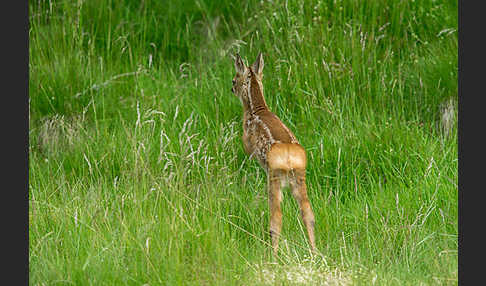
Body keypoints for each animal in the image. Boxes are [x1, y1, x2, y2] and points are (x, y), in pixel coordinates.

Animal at [231, 53, 318, 256]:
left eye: (234, 79)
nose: (231, 88)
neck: (256, 110)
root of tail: (290, 158)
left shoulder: (247, 142)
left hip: (274, 176)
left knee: (277, 216)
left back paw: (274, 254)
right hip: (300, 178)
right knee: (308, 214)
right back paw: (315, 253)